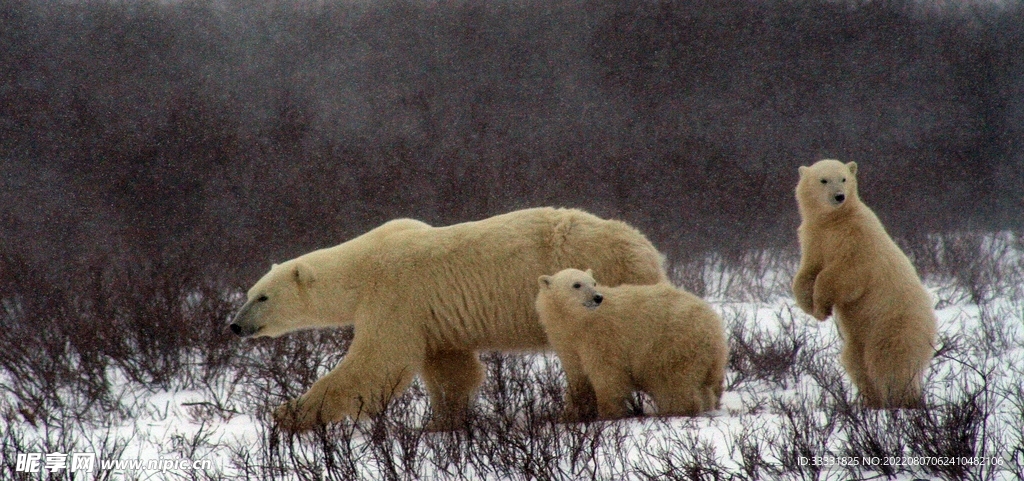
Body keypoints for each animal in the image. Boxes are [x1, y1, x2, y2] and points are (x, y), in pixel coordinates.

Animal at [228, 205, 667, 427]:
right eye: (248, 294)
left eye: (263, 296)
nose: (234, 325)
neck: (363, 264)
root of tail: (645, 247)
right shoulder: (431, 314)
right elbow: (450, 368)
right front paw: (444, 421)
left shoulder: (396, 293)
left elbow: (378, 363)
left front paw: (289, 414)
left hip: (600, 281)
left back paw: (569, 413)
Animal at [536, 268, 729, 419]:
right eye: (576, 284)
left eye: (594, 282)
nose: (597, 297)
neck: (580, 321)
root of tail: (715, 325)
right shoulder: (568, 342)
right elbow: (577, 375)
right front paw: (571, 413)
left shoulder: (602, 337)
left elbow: (607, 373)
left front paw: (608, 413)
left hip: (673, 344)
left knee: (672, 382)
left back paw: (676, 410)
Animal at [790, 159, 937, 407]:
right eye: (823, 180)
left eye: (843, 178)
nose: (839, 196)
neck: (834, 221)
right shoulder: (814, 238)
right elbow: (806, 272)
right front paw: (809, 307)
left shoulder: (857, 239)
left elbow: (843, 274)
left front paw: (821, 307)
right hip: (859, 337)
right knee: (855, 361)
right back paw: (869, 401)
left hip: (893, 323)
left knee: (889, 360)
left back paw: (901, 400)